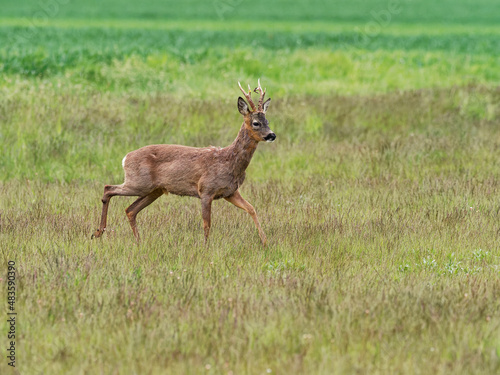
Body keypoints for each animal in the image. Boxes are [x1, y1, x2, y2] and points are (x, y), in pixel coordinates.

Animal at [92, 81, 276, 247]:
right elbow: (207, 223)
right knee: (108, 189)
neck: (229, 162)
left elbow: (252, 208)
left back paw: (138, 241)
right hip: (138, 183)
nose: (272, 135)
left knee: (130, 210)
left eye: (267, 121)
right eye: (256, 123)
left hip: (154, 190)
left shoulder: (230, 192)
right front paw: (205, 247)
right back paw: (99, 232)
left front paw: (265, 242)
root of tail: (126, 158)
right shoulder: (206, 190)